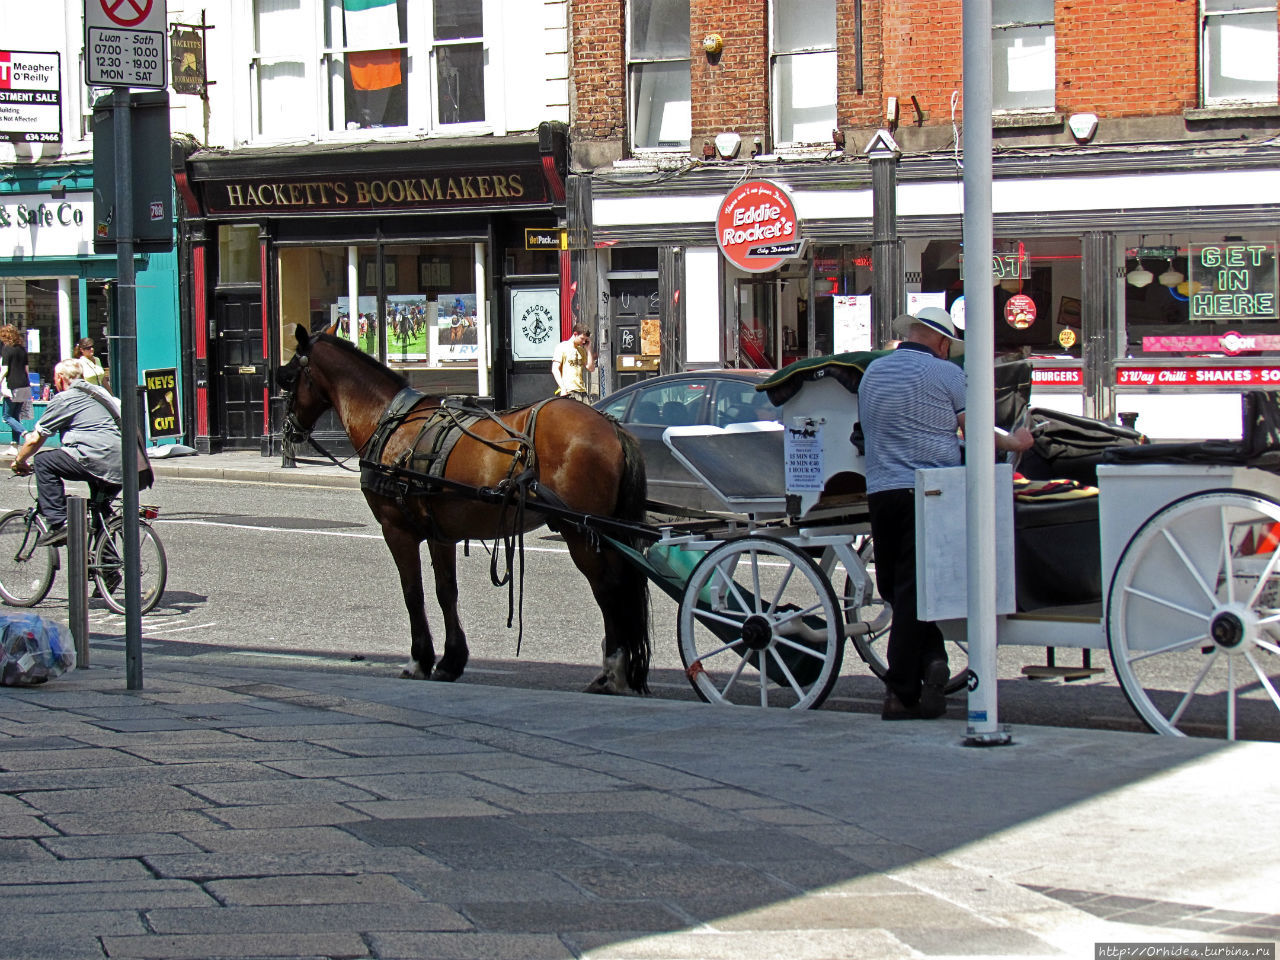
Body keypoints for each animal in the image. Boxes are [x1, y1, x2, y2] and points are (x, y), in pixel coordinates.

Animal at [272, 327, 650, 696]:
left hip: (582, 532)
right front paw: (451, 661)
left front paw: (420, 660)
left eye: (288, 378)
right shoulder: (439, 534)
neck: (392, 423)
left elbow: (413, 593)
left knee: (608, 589)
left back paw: (613, 671)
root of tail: (610, 425)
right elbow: (446, 592)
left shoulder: (396, 530)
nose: (287, 431)